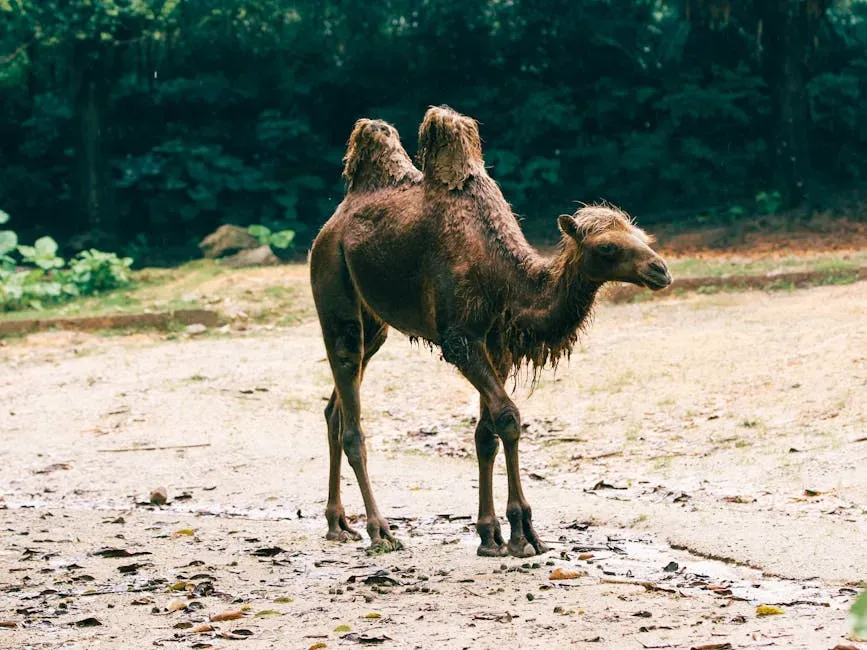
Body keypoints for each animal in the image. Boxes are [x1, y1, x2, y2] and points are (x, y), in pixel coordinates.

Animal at [309, 107, 672, 557]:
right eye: (607, 247)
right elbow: (508, 417)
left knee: (335, 410)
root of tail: (331, 224)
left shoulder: (498, 344)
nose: (661, 270)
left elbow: (486, 434)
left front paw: (489, 534)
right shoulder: (460, 339)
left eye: (643, 237)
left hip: (374, 325)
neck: (503, 276)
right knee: (352, 417)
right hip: (333, 290)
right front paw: (522, 533)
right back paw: (380, 531)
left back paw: (338, 524)